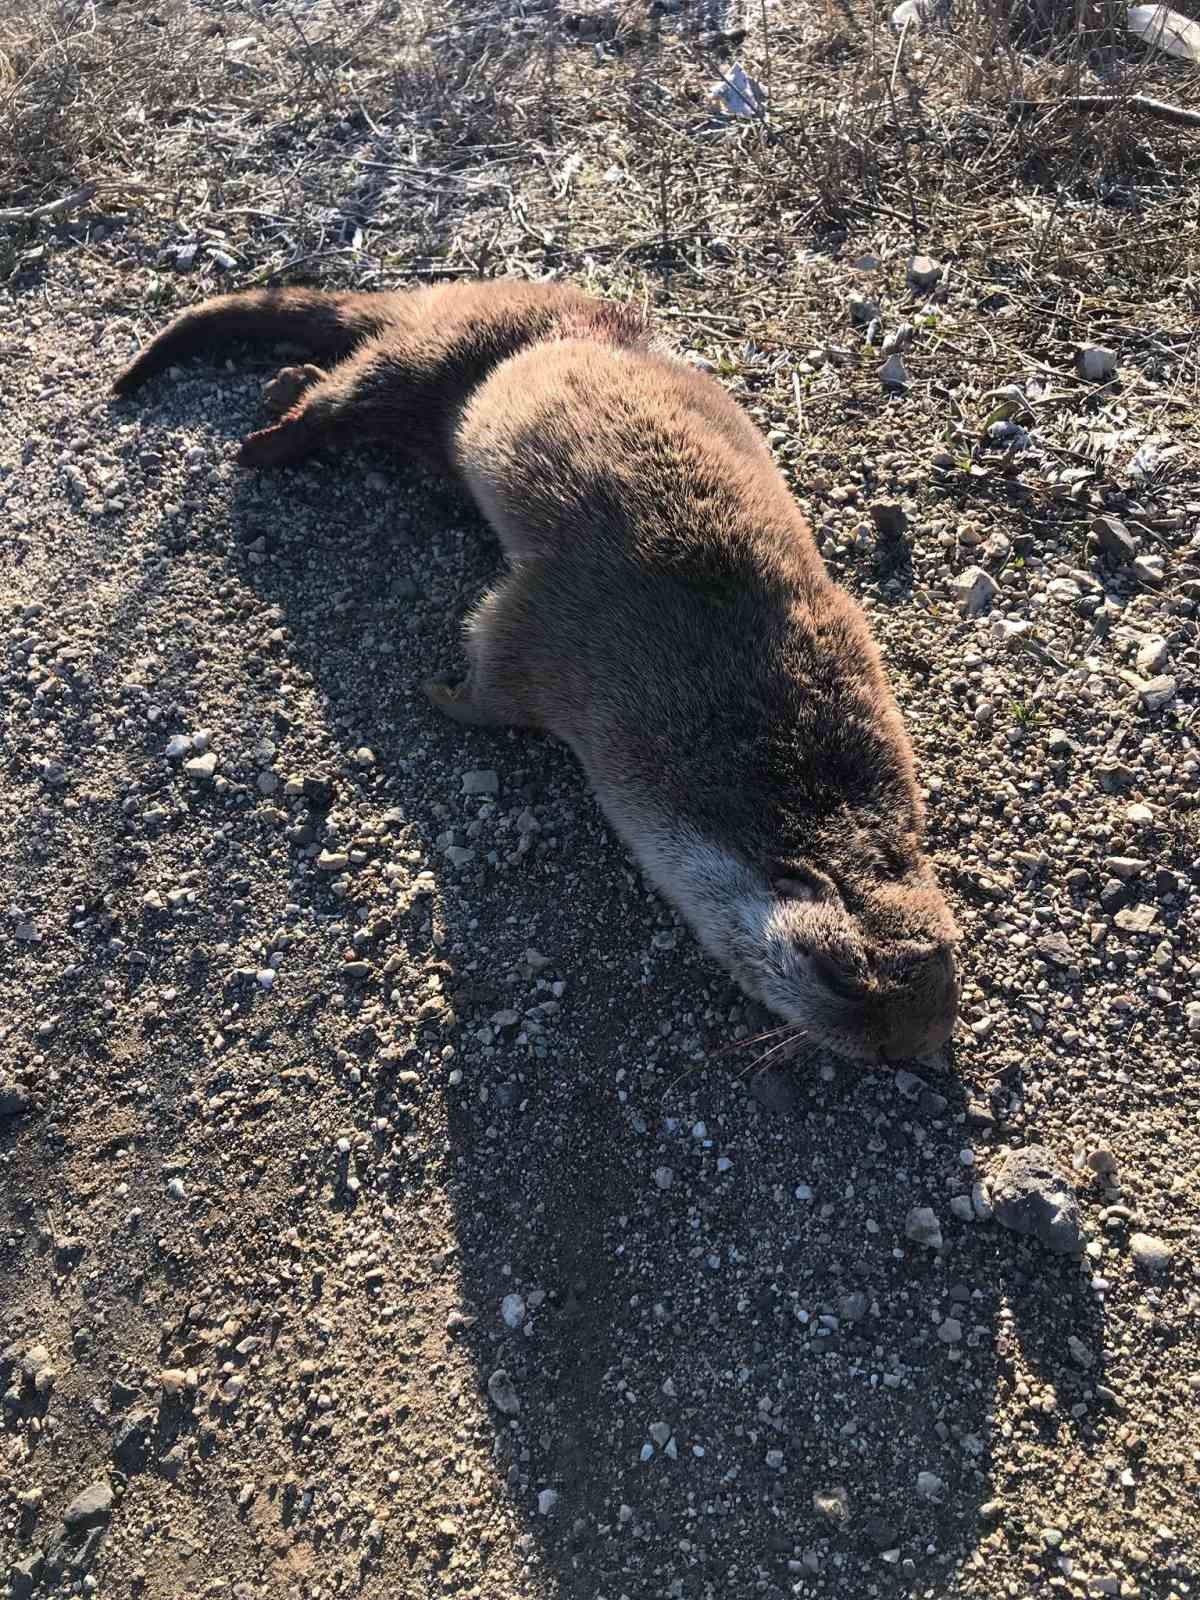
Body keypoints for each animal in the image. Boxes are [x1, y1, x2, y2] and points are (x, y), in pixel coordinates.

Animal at [112, 278, 960, 1062]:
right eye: (841, 978)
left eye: (943, 992)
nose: (905, 1054)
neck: (746, 732)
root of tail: (463, 288)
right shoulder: (566, 650)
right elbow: (490, 668)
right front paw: (440, 693)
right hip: (438, 356)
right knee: (347, 392)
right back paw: (264, 438)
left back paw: (280, 390)